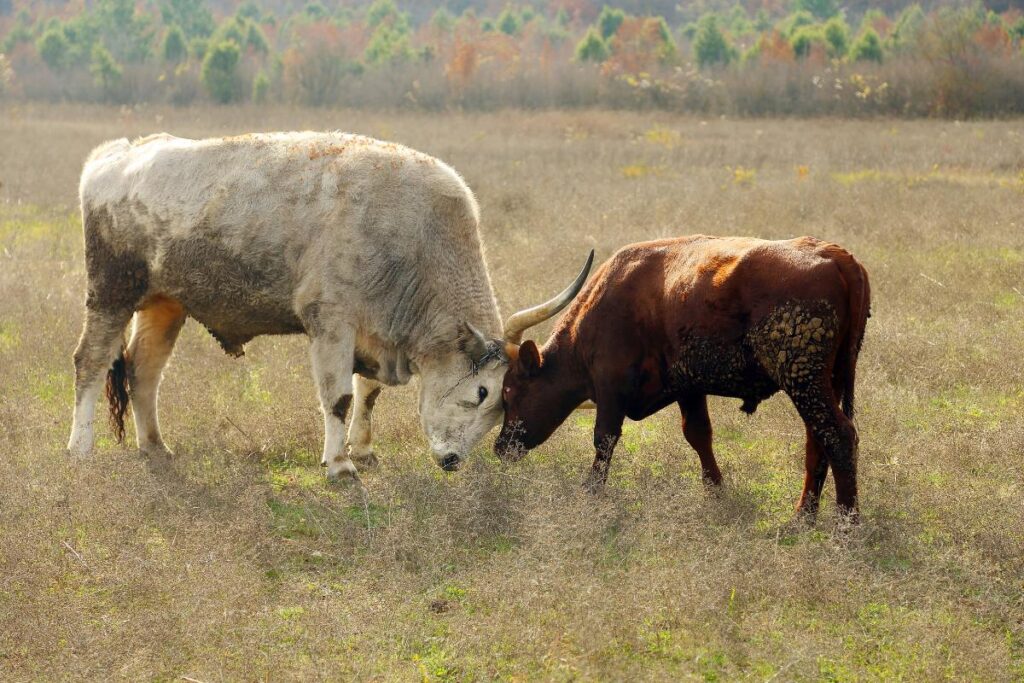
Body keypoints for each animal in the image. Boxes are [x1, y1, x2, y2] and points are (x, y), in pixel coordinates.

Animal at [495, 237, 872, 520]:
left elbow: (604, 439)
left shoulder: (610, 385)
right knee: (817, 440)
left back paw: (846, 525)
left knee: (838, 436)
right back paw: (803, 519)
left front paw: (592, 493)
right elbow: (699, 435)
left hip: (804, 380)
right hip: (825, 381)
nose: (500, 446)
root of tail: (835, 256)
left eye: (509, 392)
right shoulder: (688, 387)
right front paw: (716, 494)